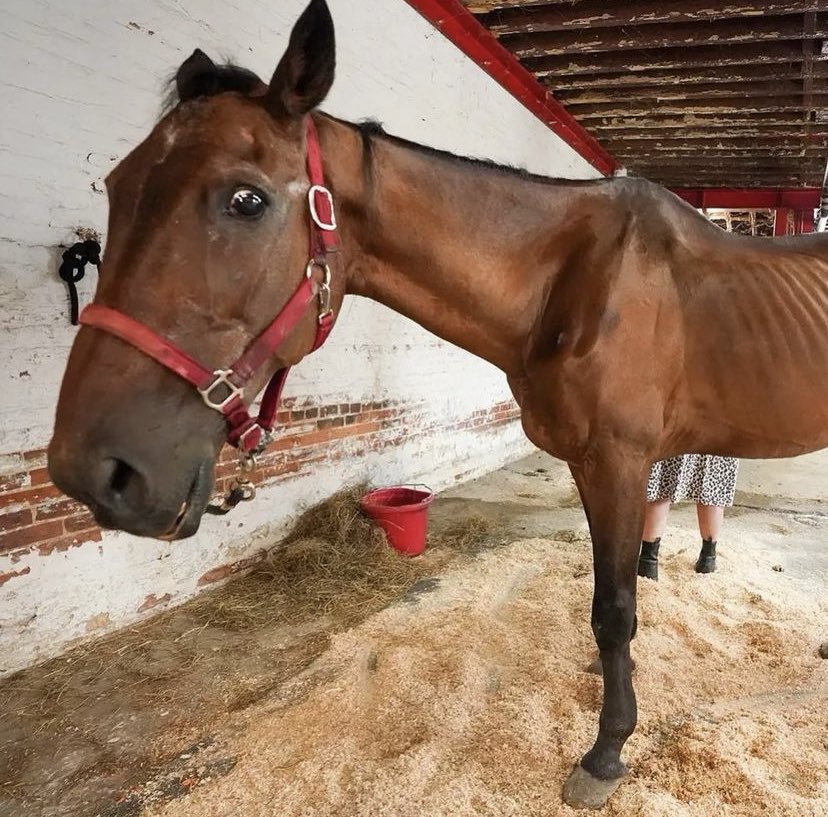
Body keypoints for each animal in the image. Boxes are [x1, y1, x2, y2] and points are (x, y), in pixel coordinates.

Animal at [47, 0, 828, 809]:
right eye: (116, 185)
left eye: (246, 199)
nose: (95, 471)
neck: (574, 278)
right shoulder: (592, 466)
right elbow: (610, 602)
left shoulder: (618, 460)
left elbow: (613, 611)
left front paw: (606, 751)